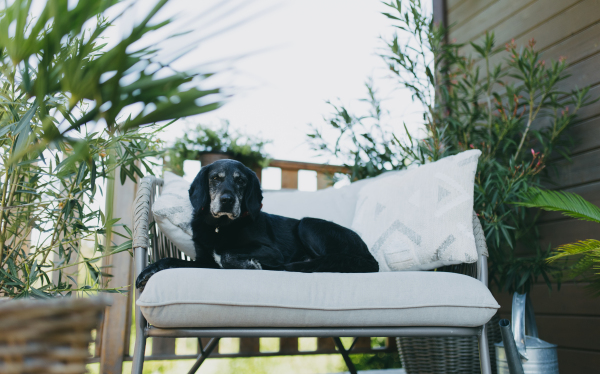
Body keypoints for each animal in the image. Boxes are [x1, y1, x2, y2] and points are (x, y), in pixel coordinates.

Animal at [138, 159, 378, 288]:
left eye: (241, 181)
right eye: (215, 178)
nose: (227, 200)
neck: (221, 227)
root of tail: (370, 256)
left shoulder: (272, 252)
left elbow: (228, 254)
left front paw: (249, 264)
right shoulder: (204, 261)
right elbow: (170, 260)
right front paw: (148, 270)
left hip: (307, 224)